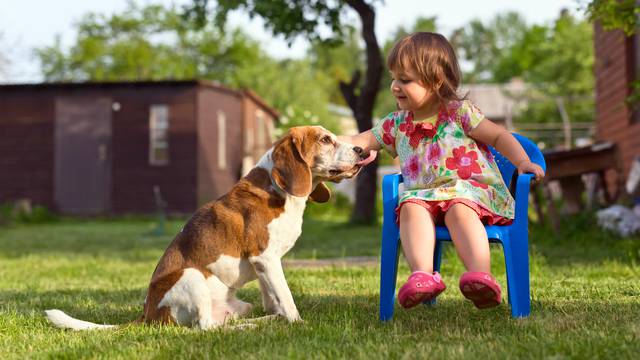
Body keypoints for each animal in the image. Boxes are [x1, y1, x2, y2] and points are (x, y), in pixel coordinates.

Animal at [46, 126, 376, 330]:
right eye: (325, 140)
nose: (361, 151)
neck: (278, 189)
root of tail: (148, 315)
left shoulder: (265, 266)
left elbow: (274, 299)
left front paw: (280, 318)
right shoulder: (266, 259)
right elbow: (286, 298)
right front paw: (297, 324)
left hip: (239, 304)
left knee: (222, 322)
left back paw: (261, 323)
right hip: (191, 275)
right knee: (206, 328)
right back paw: (250, 328)